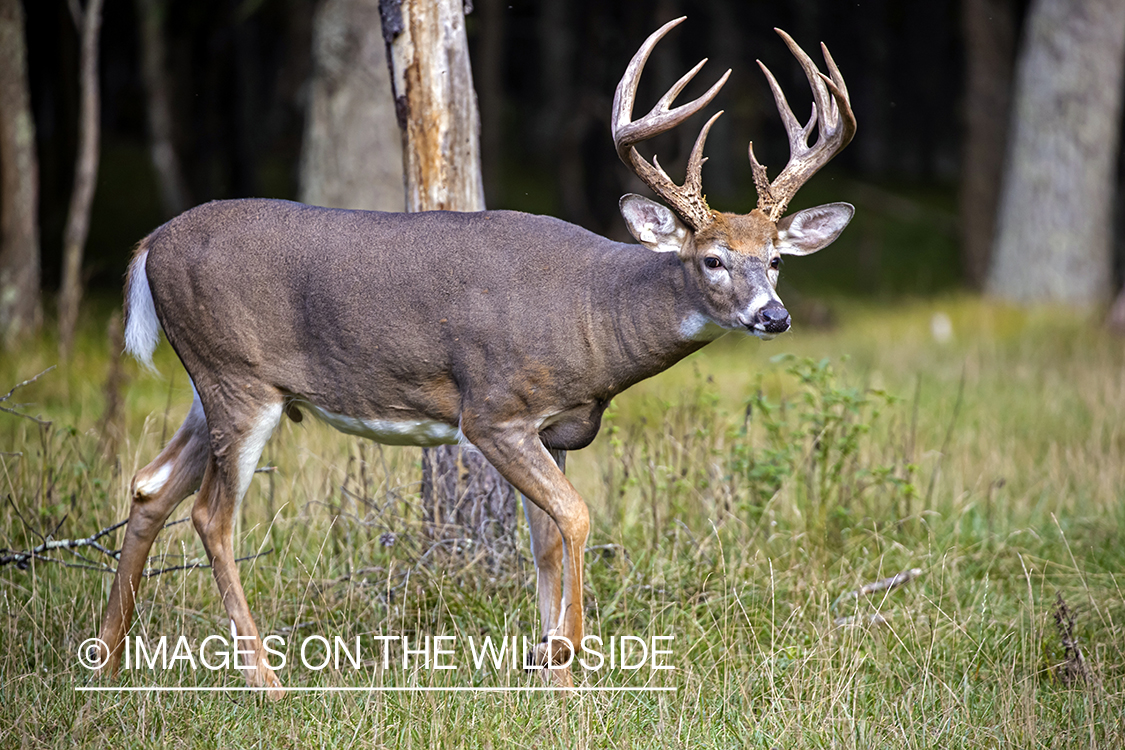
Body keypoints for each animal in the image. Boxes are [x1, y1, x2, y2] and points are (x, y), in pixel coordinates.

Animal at [94, 19, 850, 697]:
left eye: (776, 259)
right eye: (713, 259)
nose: (773, 316)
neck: (592, 316)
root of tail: (150, 245)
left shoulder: (554, 428)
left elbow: (548, 540)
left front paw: (558, 681)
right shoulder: (493, 411)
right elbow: (577, 517)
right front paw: (564, 656)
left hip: (210, 386)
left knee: (151, 485)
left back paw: (106, 660)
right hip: (238, 379)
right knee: (211, 516)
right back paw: (265, 681)